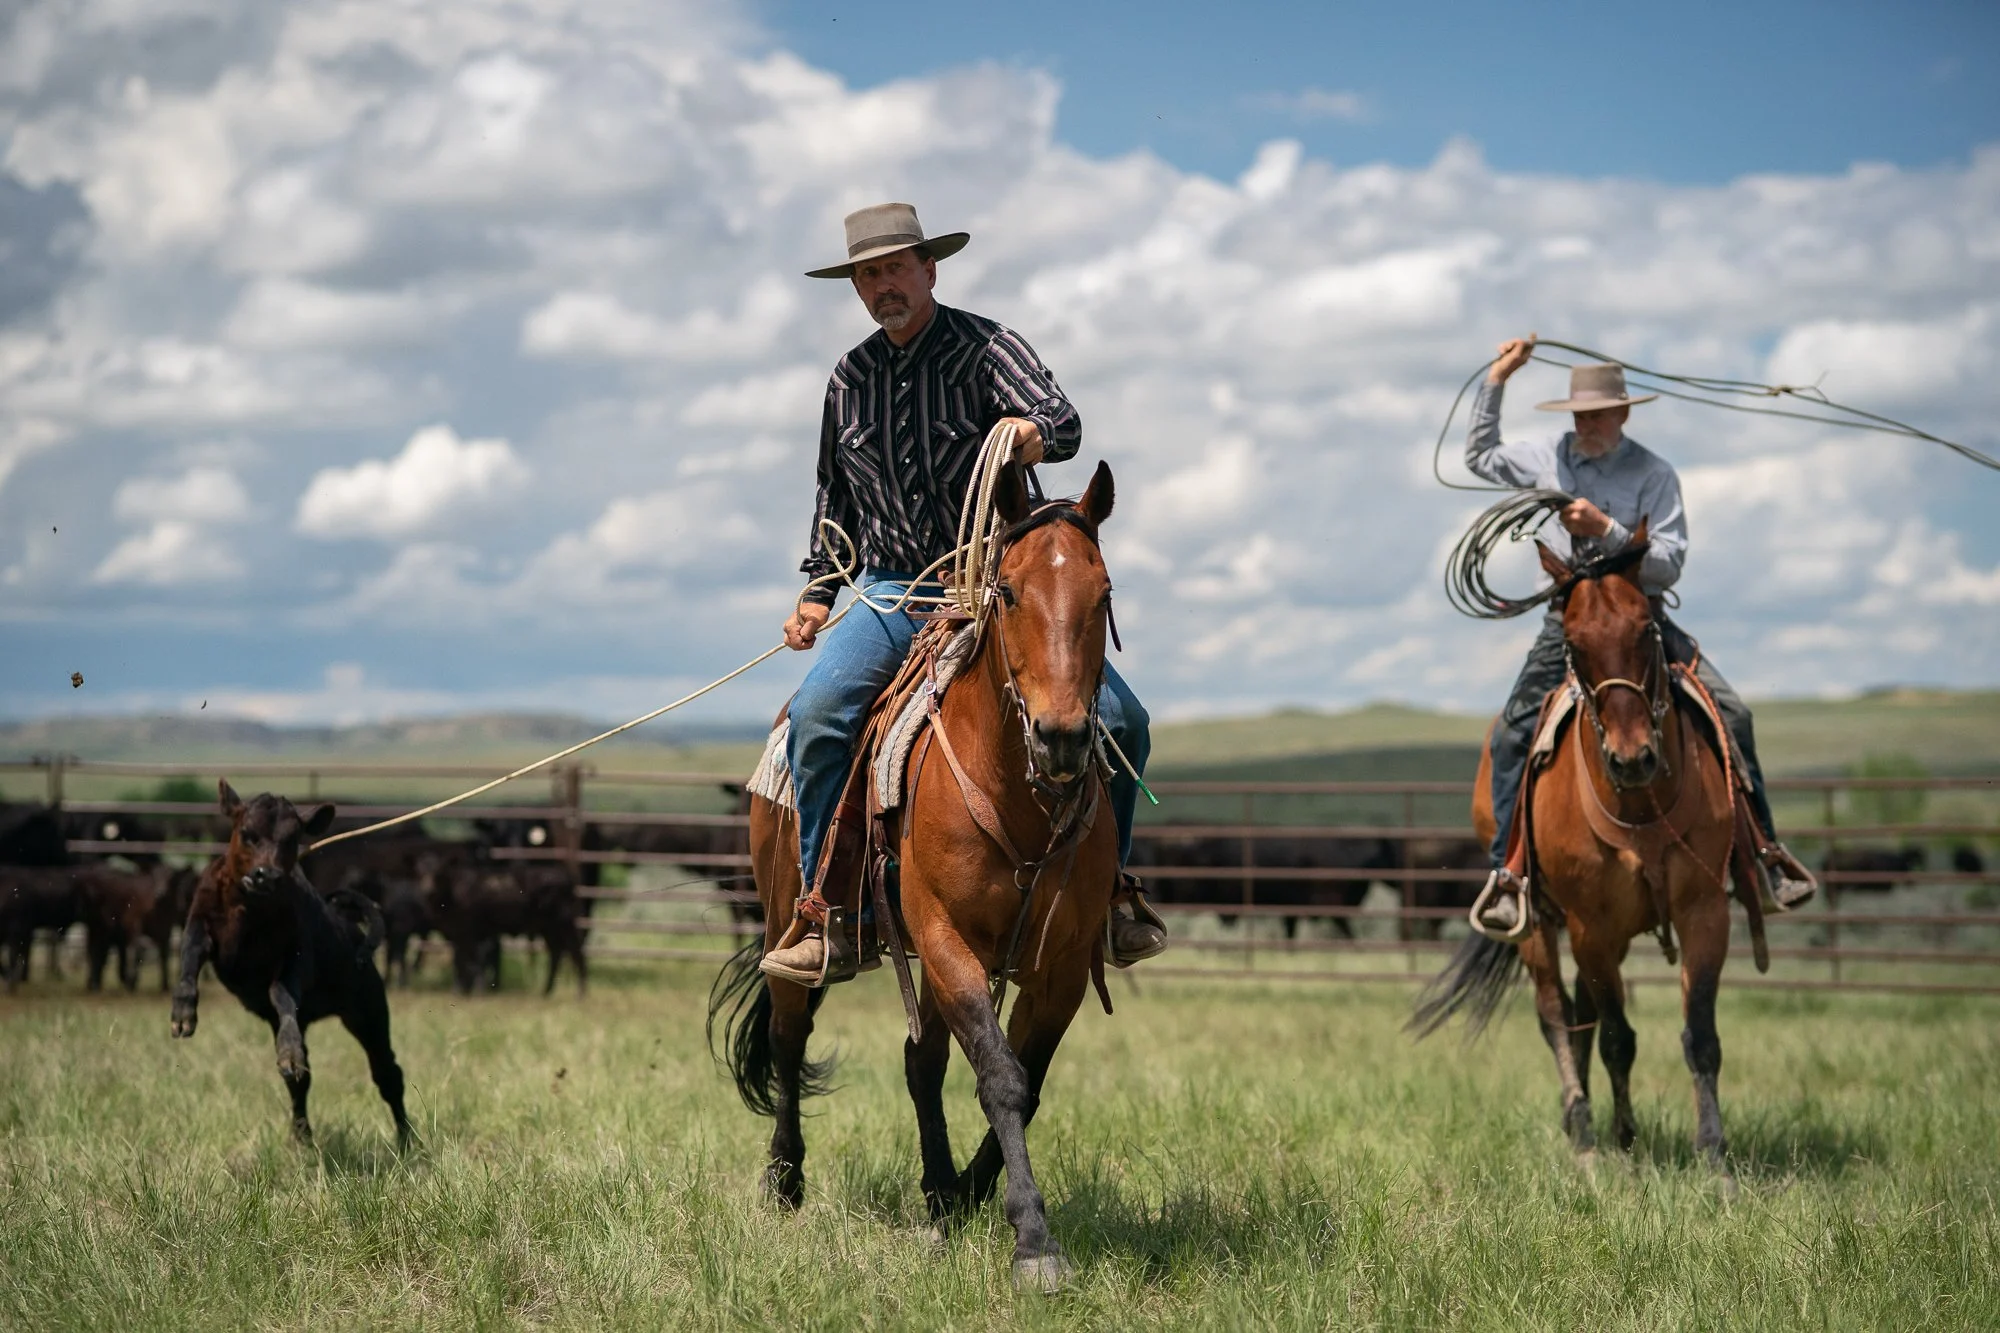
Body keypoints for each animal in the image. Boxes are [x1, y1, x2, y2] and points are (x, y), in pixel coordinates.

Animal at [171, 782, 411, 1148]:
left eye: (291, 838)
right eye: (247, 832)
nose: (265, 875)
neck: (247, 908)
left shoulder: (295, 956)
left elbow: (281, 994)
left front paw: (289, 1052)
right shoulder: (200, 925)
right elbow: (187, 962)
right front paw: (183, 1016)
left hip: (368, 1014)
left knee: (387, 1074)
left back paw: (408, 1140)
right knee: (302, 1083)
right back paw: (303, 1137)